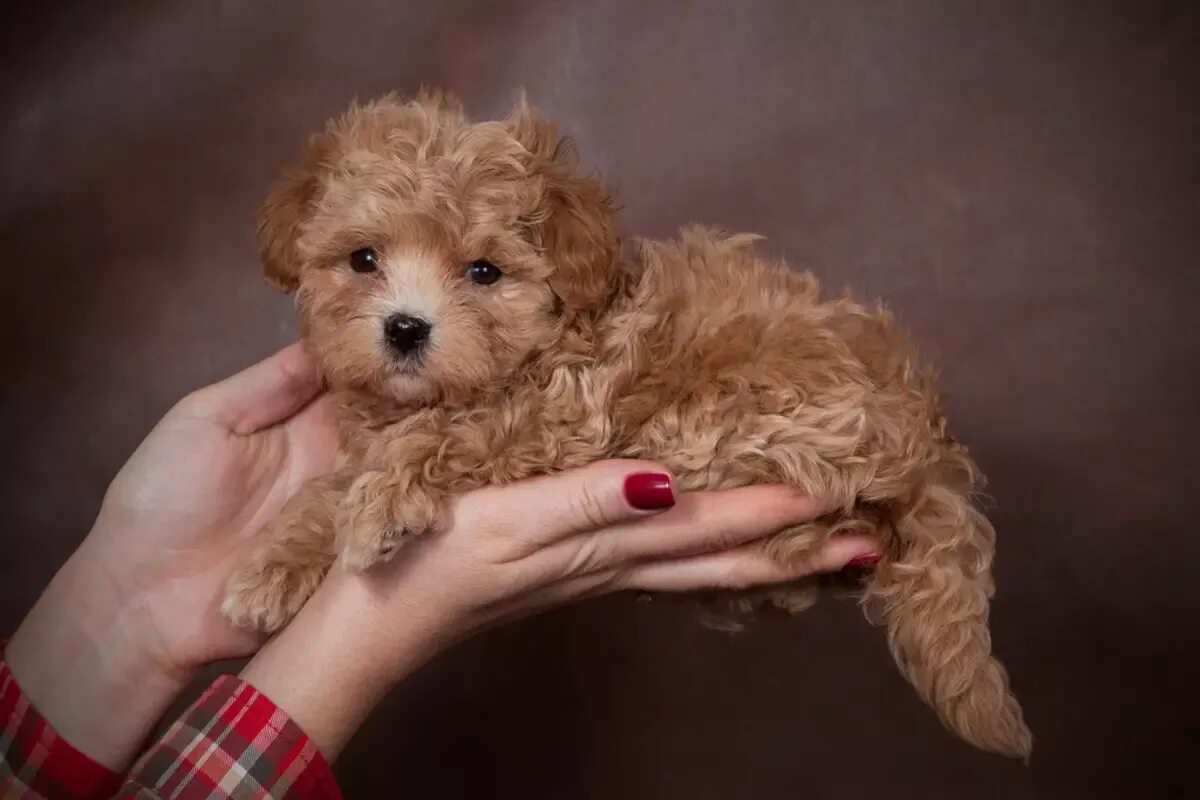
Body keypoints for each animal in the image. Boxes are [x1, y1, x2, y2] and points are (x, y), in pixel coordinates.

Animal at [223, 90, 1032, 762]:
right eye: (363, 259)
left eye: (484, 272)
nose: (404, 328)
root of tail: (929, 446)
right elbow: (329, 487)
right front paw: (272, 568)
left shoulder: (561, 413)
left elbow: (452, 436)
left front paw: (382, 505)